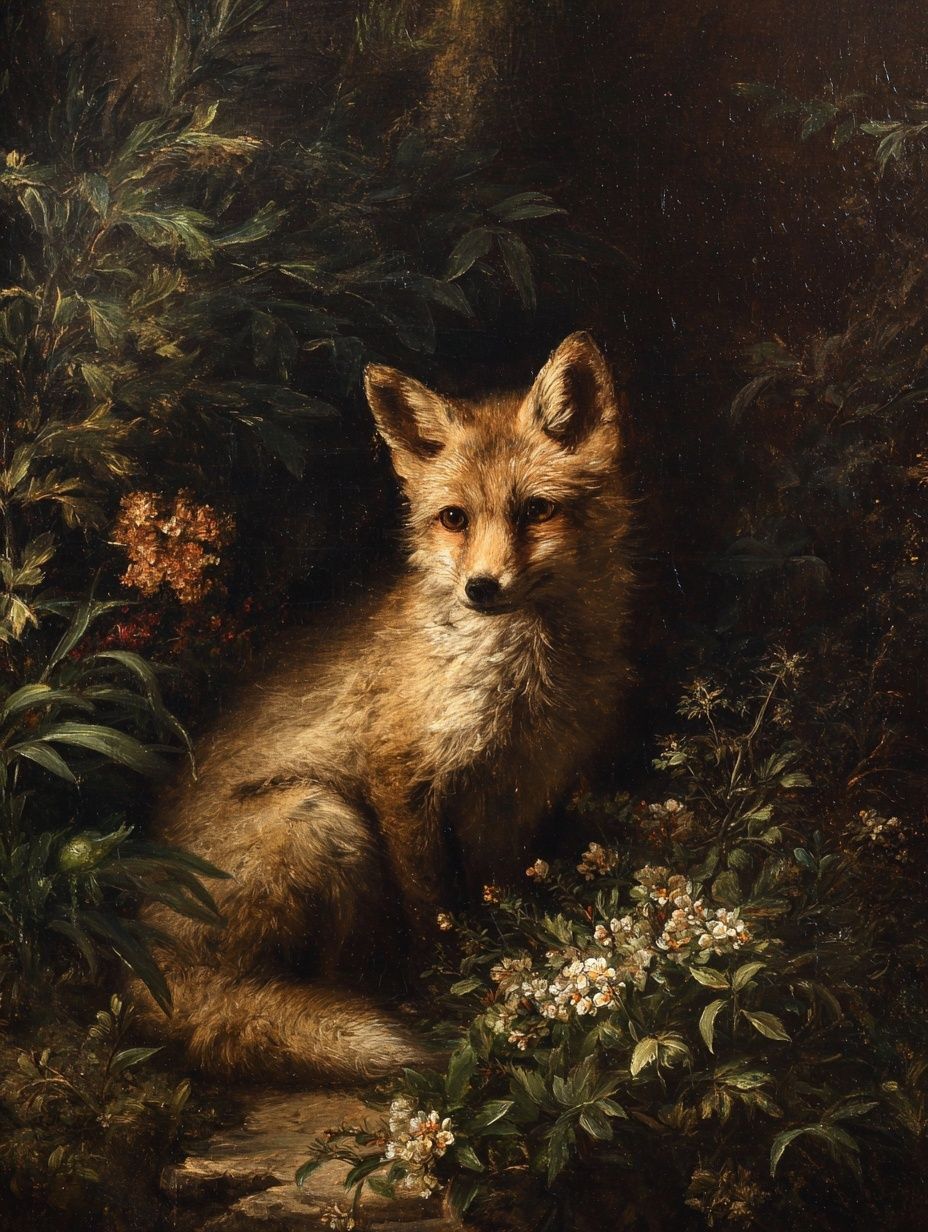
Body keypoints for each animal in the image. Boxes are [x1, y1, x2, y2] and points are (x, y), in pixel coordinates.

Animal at [134, 331, 633, 1083]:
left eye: (537, 511)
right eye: (454, 519)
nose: (482, 588)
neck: (527, 673)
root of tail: (140, 952)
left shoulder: (514, 790)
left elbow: (497, 889)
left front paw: (512, 957)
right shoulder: (400, 776)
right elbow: (431, 906)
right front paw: (455, 980)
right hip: (321, 817)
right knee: (297, 984)